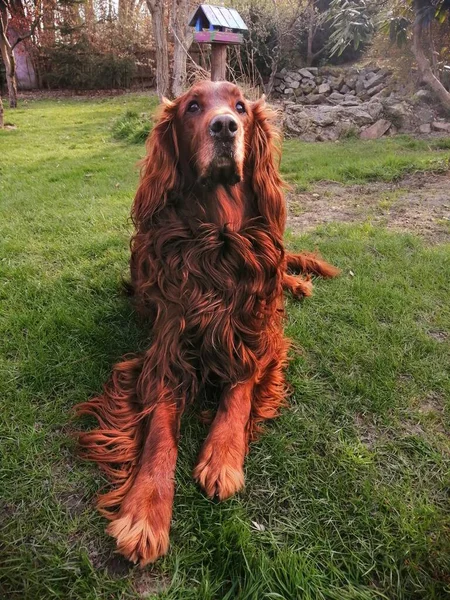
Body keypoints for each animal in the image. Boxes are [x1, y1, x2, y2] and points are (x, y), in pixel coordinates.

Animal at [75, 81, 340, 568]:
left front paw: (222, 458)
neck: (217, 238)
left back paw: (297, 283)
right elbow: (160, 432)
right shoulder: (166, 350)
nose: (225, 127)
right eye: (193, 107)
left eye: (241, 107)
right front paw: (145, 510)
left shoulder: (255, 334)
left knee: (284, 271)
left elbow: (238, 393)